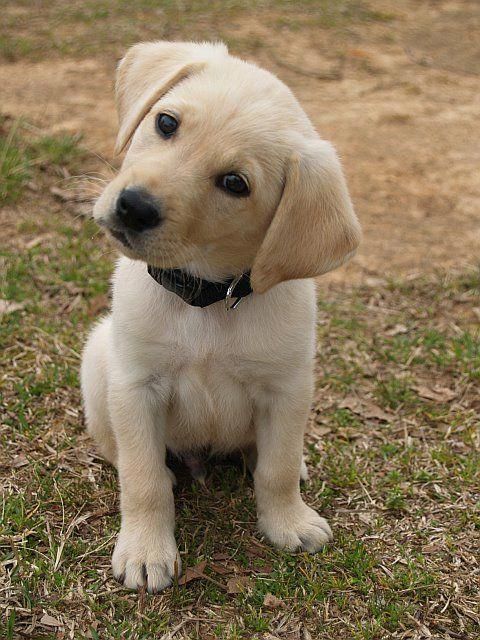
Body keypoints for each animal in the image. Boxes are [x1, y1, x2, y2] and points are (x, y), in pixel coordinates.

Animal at [81, 40, 360, 592]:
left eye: (235, 183)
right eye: (166, 123)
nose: (133, 207)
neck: (206, 299)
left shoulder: (287, 388)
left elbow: (275, 469)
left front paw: (288, 521)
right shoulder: (136, 386)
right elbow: (142, 478)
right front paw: (146, 549)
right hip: (98, 361)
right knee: (122, 453)